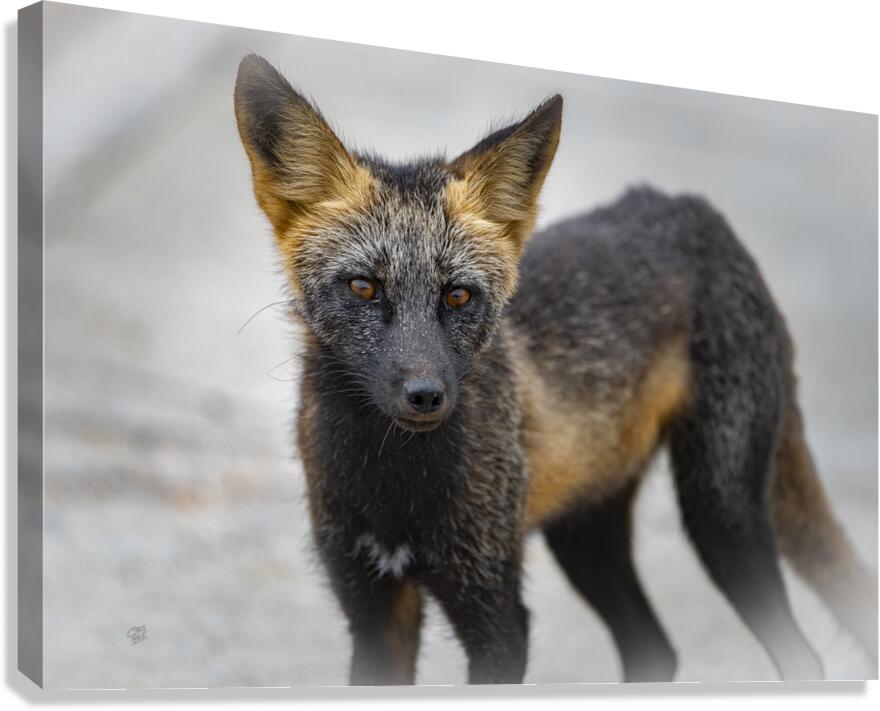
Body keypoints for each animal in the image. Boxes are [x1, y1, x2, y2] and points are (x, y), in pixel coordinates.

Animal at [233, 54, 877, 685]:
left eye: (458, 296)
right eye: (364, 287)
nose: (426, 395)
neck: (394, 490)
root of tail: (690, 208)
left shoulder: (497, 613)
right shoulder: (371, 609)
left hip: (720, 515)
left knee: (802, 660)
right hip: (586, 536)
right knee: (655, 651)